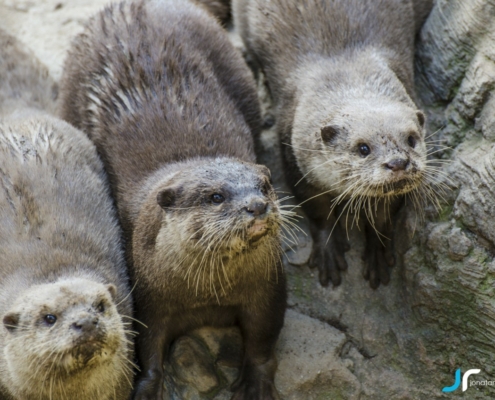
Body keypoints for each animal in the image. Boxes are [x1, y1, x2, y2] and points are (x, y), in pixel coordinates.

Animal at [59, 0, 286, 400]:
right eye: (216, 196)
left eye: (264, 185)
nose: (257, 206)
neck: (209, 293)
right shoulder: (149, 295)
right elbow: (148, 345)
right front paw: (148, 387)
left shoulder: (270, 286)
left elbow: (263, 337)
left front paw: (256, 382)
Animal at [232, 0, 434, 290]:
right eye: (363, 148)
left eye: (411, 139)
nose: (398, 163)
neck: (347, 70)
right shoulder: (295, 159)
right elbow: (317, 211)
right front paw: (328, 252)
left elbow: (382, 218)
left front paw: (377, 255)